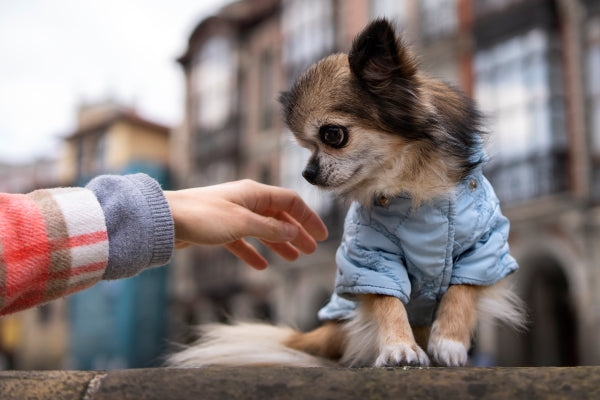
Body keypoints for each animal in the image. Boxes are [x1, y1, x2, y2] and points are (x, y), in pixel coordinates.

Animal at [169, 18, 524, 368]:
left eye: (332, 135)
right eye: (305, 147)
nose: (307, 173)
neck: (410, 182)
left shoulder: (484, 246)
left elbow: (462, 291)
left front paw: (449, 341)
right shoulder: (372, 256)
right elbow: (387, 299)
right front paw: (399, 347)